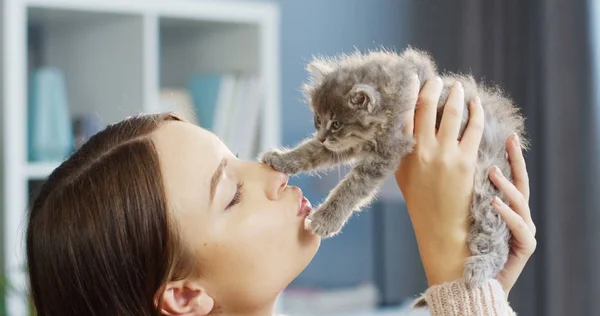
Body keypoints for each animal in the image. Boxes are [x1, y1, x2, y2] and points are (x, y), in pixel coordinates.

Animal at [258, 45, 524, 290]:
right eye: (318, 119)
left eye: (336, 124)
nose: (323, 136)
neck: (390, 99)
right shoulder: (347, 145)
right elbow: (309, 151)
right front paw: (282, 159)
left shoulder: (388, 150)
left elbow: (352, 186)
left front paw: (327, 218)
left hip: (488, 188)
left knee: (498, 236)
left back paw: (480, 267)